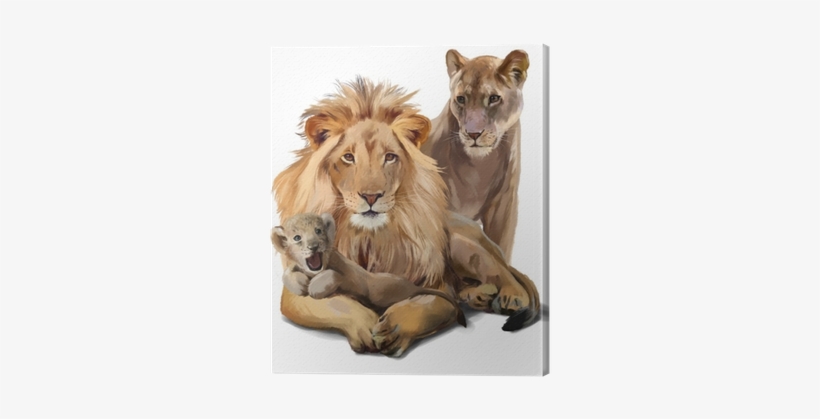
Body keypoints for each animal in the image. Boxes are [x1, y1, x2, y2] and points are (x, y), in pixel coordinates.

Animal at [270, 212, 466, 327]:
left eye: (318, 231)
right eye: (297, 238)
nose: (314, 246)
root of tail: (411, 286)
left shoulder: (355, 280)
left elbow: (334, 274)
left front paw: (314, 288)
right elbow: (287, 273)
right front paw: (299, 284)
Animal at [421, 49, 529, 262]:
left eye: (494, 98)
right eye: (461, 99)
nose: (473, 134)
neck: (480, 166)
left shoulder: (504, 205)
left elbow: (501, 247)